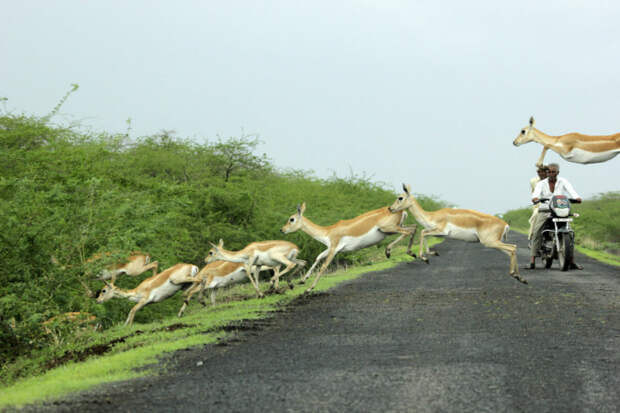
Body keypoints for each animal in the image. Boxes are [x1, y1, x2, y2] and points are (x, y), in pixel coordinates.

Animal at [280, 201, 416, 292]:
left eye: (291, 219)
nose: (282, 230)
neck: (328, 232)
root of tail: (401, 210)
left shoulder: (334, 249)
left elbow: (323, 266)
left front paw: (309, 288)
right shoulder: (330, 248)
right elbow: (318, 257)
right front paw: (303, 280)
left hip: (389, 229)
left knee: (408, 232)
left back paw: (389, 252)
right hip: (394, 229)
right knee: (413, 228)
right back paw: (411, 253)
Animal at [390, 183, 524, 284]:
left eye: (400, 197)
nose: (390, 209)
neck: (432, 216)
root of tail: (505, 224)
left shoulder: (441, 231)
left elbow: (423, 233)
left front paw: (424, 258)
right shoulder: (437, 234)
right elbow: (424, 233)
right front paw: (432, 253)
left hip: (490, 242)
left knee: (512, 248)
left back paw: (516, 276)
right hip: (495, 243)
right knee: (513, 248)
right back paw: (520, 278)